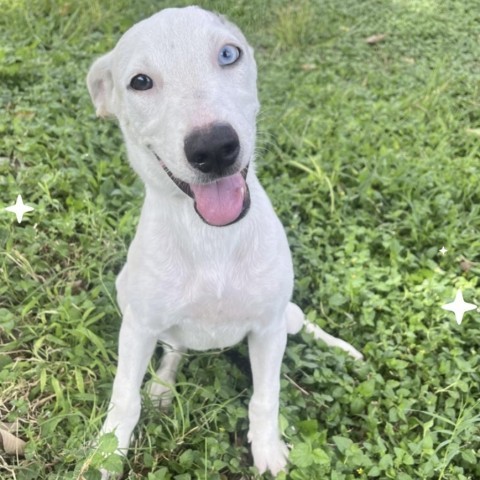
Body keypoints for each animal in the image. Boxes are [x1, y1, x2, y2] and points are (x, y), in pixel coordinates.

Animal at [87, 6, 360, 476]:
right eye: (140, 81)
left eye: (229, 54)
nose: (214, 148)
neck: (210, 237)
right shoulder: (138, 327)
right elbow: (125, 398)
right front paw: (108, 453)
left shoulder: (268, 329)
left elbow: (266, 398)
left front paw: (268, 451)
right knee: (175, 349)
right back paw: (163, 386)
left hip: (284, 318)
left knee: (301, 320)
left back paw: (342, 348)